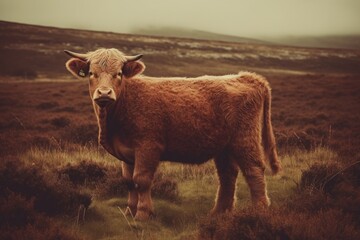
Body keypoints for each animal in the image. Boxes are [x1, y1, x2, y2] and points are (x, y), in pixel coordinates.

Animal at [64, 47, 282, 220]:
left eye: (118, 73)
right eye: (91, 73)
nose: (104, 93)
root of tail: (247, 76)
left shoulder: (148, 147)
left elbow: (141, 180)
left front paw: (143, 214)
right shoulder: (126, 153)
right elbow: (129, 182)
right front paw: (129, 212)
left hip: (245, 139)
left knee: (254, 171)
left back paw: (259, 211)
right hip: (224, 147)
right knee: (227, 175)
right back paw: (218, 213)